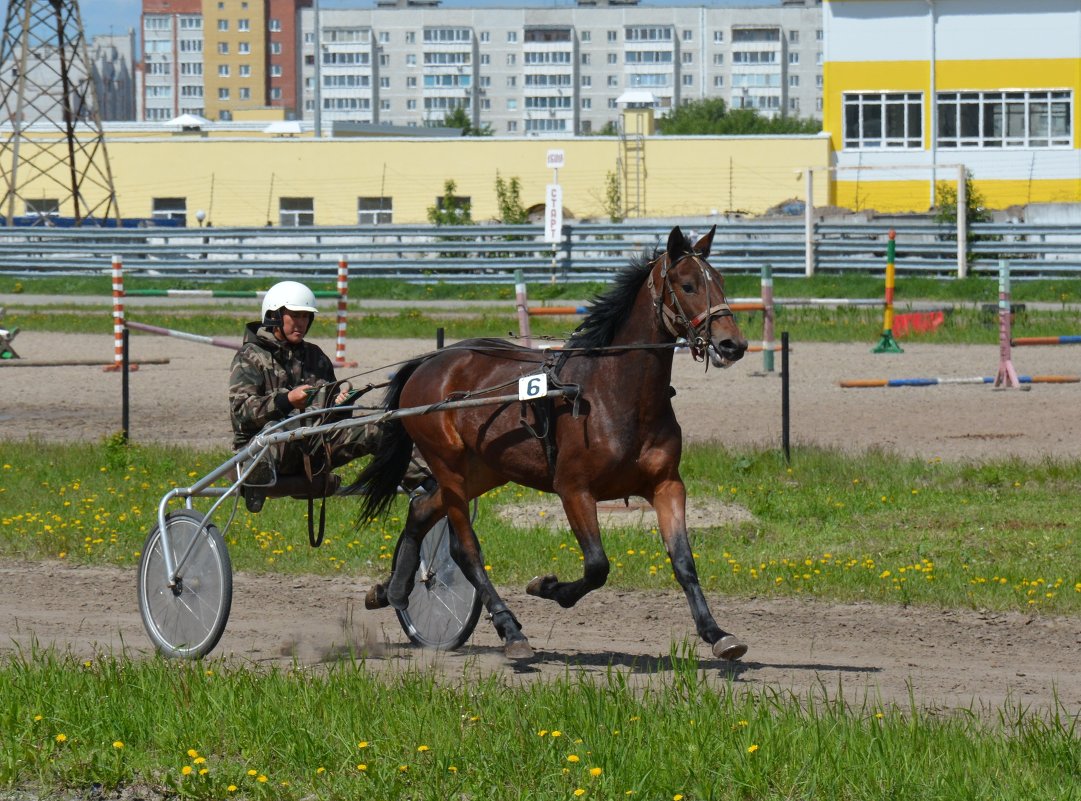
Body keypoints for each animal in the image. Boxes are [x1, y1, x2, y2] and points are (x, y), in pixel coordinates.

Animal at [358, 223, 748, 657]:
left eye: (720, 281)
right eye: (688, 284)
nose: (733, 344)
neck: (615, 393)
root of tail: (428, 362)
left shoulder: (666, 484)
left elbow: (683, 562)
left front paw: (716, 632)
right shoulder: (573, 489)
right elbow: (597, 566)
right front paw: (548, 587)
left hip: (484, 470)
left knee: (422, 509)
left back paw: (394, 590)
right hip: (449, 466)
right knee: (465, 549)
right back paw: (510, 630)